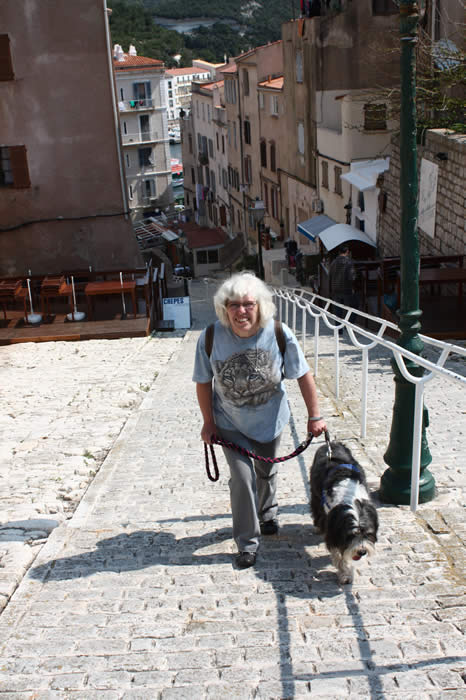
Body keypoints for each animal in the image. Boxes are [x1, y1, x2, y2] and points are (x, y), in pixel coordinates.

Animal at [310, 440, 378, 584]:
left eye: (368, 534)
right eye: (351, 535)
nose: (362, 552)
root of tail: (331, 443)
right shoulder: (334, 530)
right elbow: (340, 554)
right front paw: (345, 574)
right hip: (315, 494)